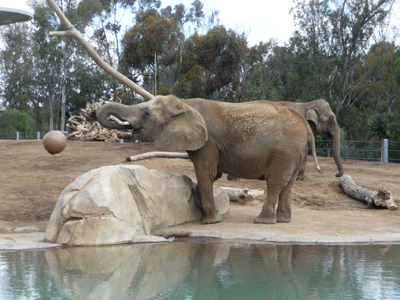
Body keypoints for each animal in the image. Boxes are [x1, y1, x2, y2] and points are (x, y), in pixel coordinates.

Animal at [97, 95, 322, 224]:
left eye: (145, 113)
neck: (185, 104)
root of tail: (305, 126)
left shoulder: (209, 142)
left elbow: (206, 173)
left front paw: (210, 222)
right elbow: (211, 175)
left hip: (283, 152)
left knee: (275, 183)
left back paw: (262, 222)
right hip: (294, 152)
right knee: (288, 184)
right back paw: (284, 220)